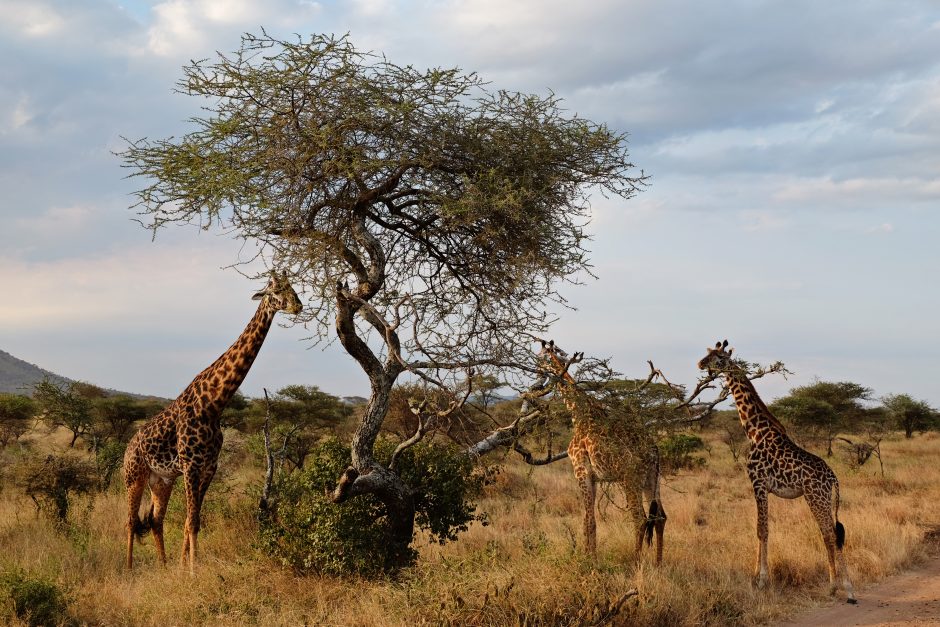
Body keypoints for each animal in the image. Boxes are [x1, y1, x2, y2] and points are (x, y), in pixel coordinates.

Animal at [123, 274, 302, 576]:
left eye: (293, 288)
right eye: (276, 290)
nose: (298, 306)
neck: (213, 404)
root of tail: (127, 448)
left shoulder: (208, 467)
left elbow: (191, 521)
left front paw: (183, 568)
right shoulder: (191, 466)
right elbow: (192, 522)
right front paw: (193, 572)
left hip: (161, 480)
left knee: (156, 520)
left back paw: (163, 566)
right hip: (134, 476)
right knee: (131, 521)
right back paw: (129, 571)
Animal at [536, 340, 668, 568]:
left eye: (540, 356)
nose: (536, 369)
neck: (578, 412)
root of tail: (654, 450)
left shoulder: (581, 471)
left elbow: (589, 520)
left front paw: (589, 562)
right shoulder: (595, 477)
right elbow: (587, 521)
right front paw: (589, 557)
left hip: (630, 479)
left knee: (640, 518)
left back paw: (635, 564)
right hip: (652, 478)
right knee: (659, 517)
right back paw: (659, 565)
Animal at [696, 340, 860, 604]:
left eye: (719, 357)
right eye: (709, 352)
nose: (700, 363)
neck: (754, 431)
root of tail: (834, 478)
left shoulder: (758, 483)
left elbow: (762, 530)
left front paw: (762, 580)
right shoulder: (761, 487)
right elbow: (760, 530)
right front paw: (755, 577)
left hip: (816, 497)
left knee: (830, 534)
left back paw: (843, 588)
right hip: (822, 499)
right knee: (831, 533)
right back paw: (837, 587)